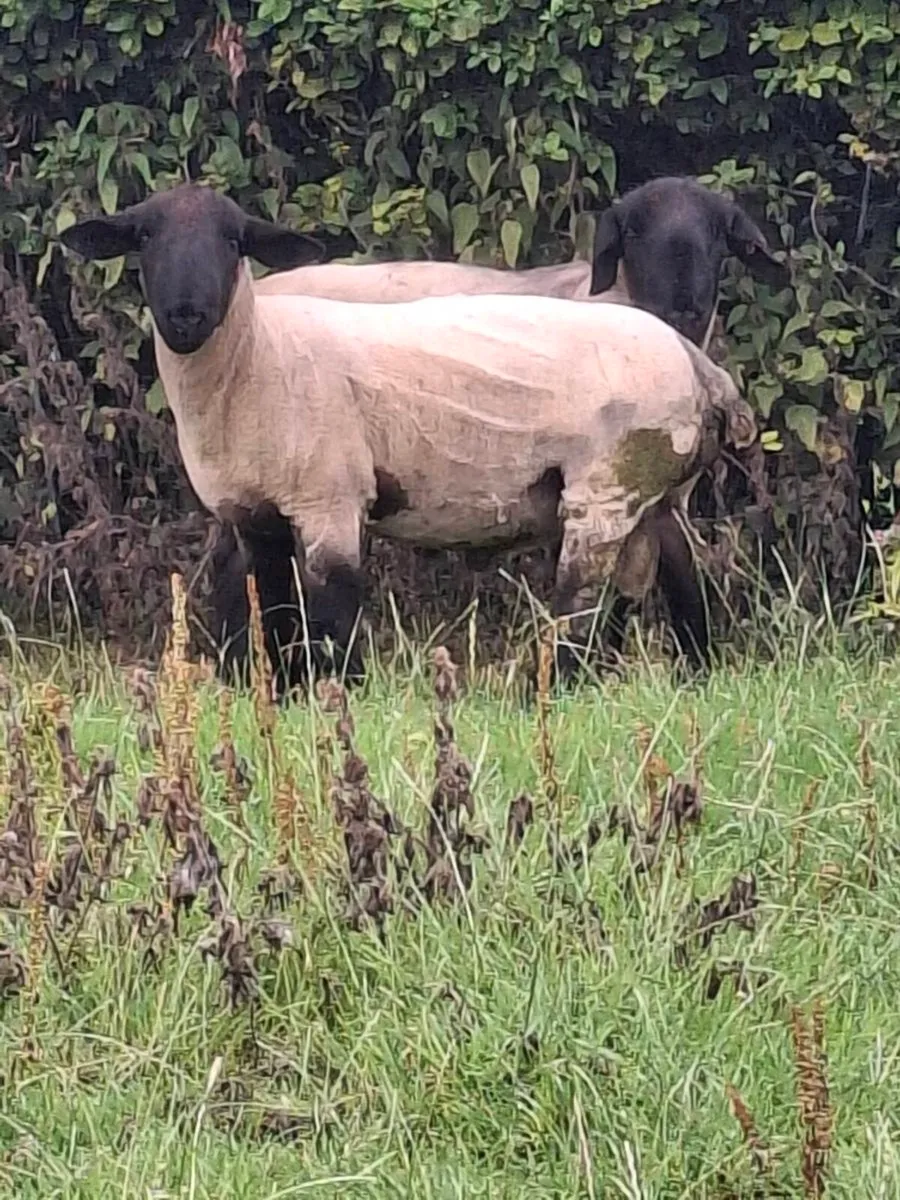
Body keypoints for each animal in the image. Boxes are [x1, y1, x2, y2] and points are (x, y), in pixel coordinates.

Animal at [60, 183, 757, 694]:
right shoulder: (253, 511)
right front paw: (273, 697)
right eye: (144, 238)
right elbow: (271, 602)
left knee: (583, 603)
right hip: (648, 491)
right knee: (645, 579)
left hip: (607, 485)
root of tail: (701, 367)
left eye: (233, 241)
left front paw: (342, 698)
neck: (259, 357)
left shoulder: (330, 499)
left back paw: (552, 690)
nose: (186, 314)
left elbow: (335, 608)